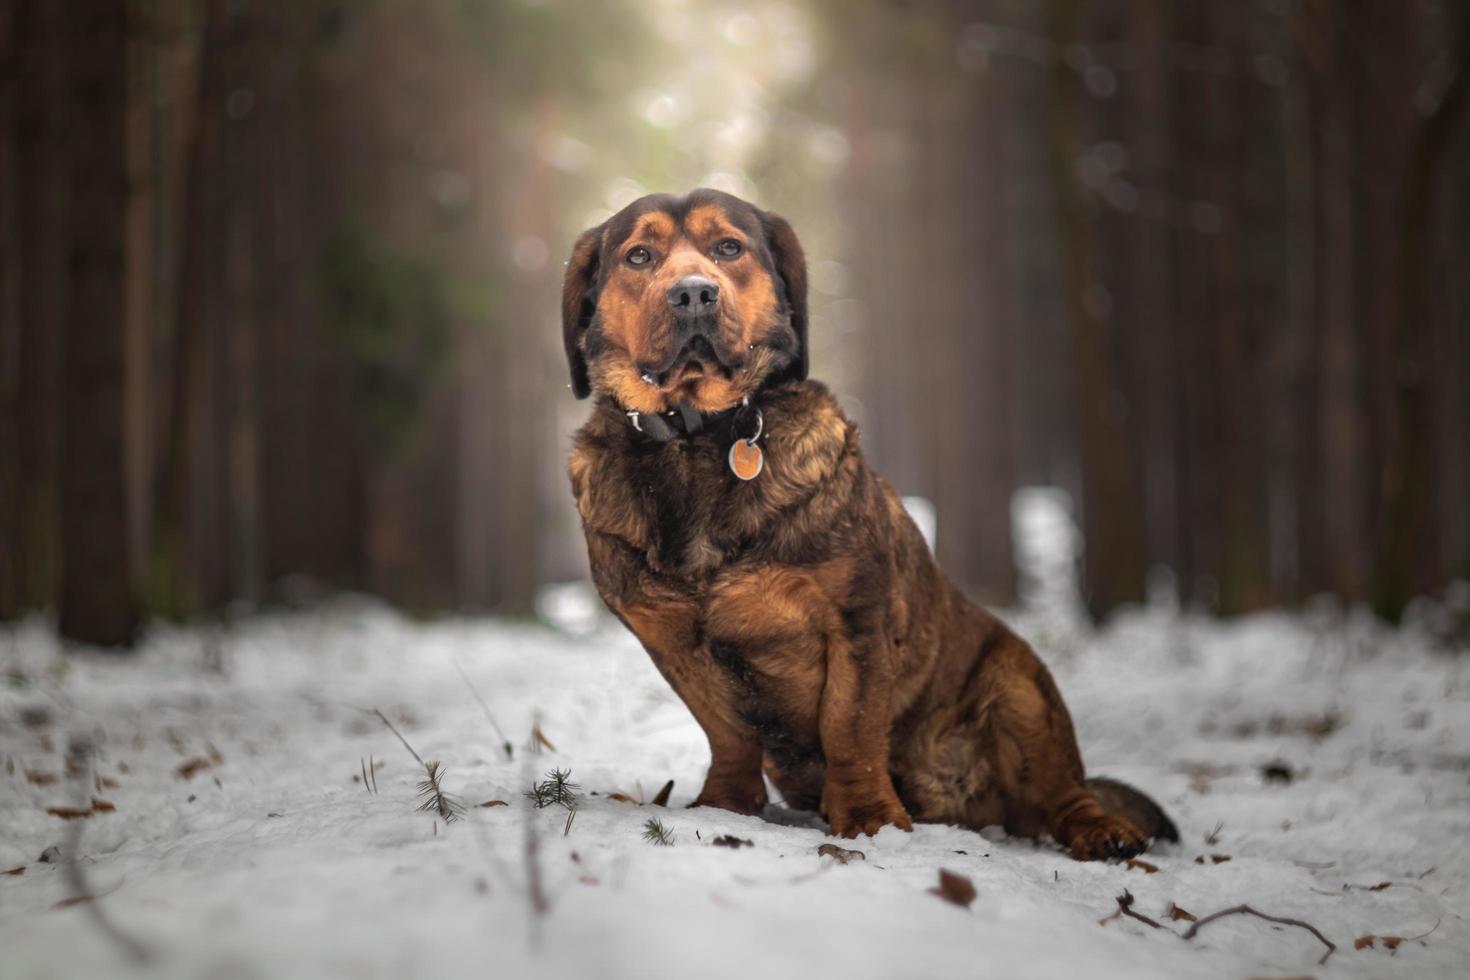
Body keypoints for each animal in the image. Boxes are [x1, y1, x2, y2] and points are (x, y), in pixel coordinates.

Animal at [555, 185, 1176, 858]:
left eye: (729, 248)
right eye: (639, 256)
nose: (693, 292)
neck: (695, 440)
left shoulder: (855, 618)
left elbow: (849, 726)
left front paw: (868, 817)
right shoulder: (671, 642)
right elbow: (728, 731)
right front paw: (725, 805)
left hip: (1021, 685)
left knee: (1063, 791)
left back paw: (1101, 829)